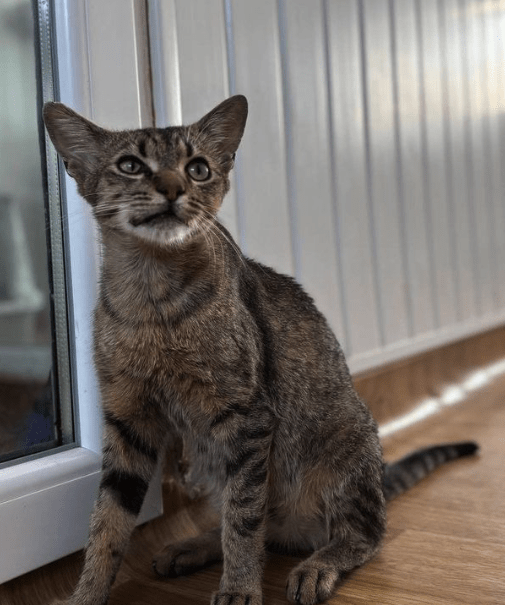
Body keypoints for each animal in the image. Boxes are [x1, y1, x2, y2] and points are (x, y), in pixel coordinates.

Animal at [43, 96, 476, 604]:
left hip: (343, 452)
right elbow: (106, 524)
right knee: (262, 524)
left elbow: (243, 517)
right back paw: (191, 546)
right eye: (130, 165)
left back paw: (316, 565)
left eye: (198, 168)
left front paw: (240, 588)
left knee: (362, 535)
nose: (172, 187)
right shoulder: (128, 418)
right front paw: (86, 594)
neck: (152, 300)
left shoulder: (247, 417)